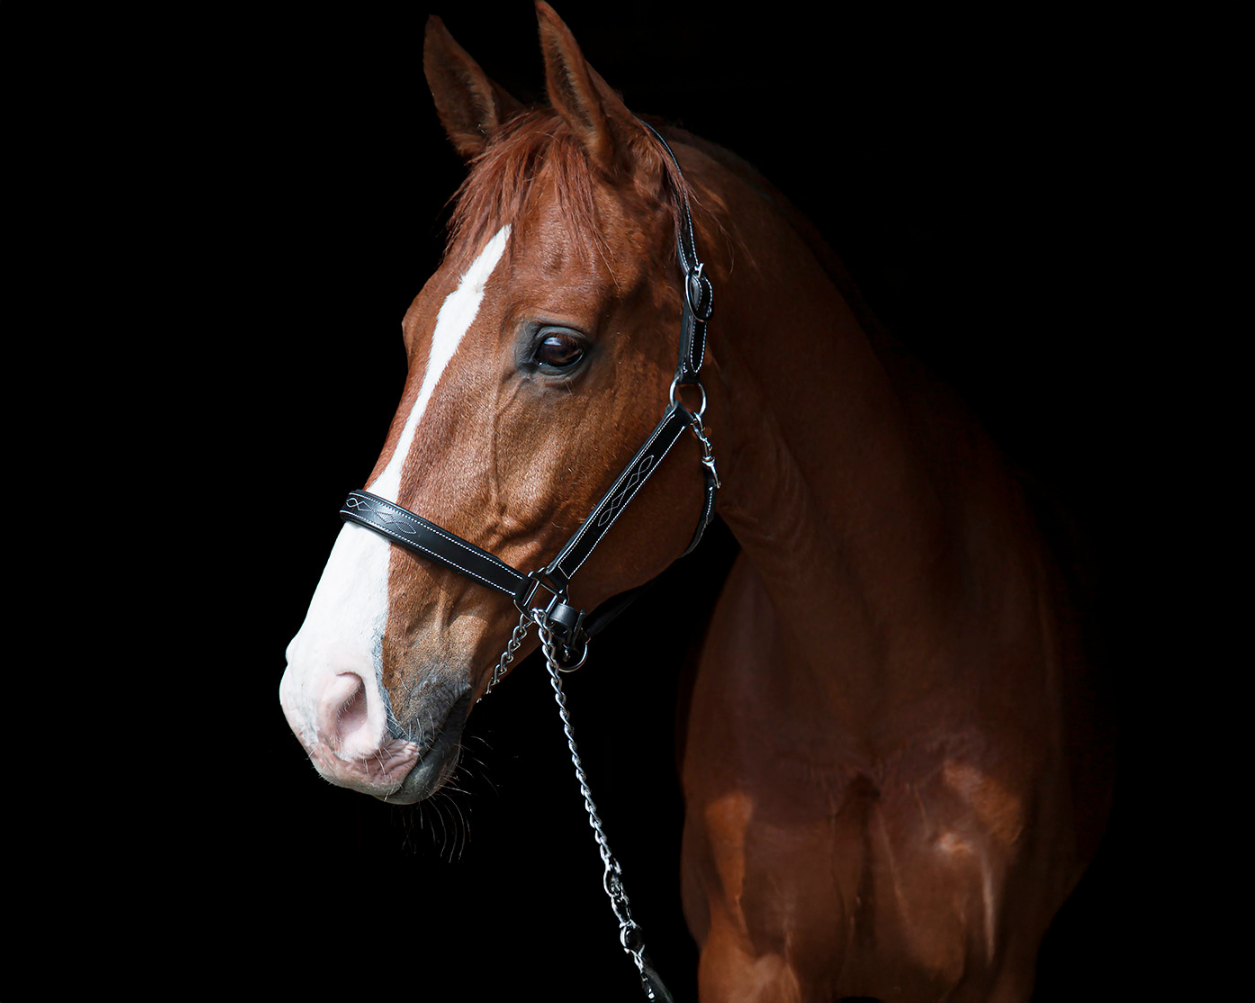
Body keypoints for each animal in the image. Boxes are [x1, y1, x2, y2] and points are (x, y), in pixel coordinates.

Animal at [279, 5, 1111, 999]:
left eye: (558, 347)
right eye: (411, 330)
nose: (325, 696)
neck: (869, 685)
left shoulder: (992, 973)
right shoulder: (748, 964)